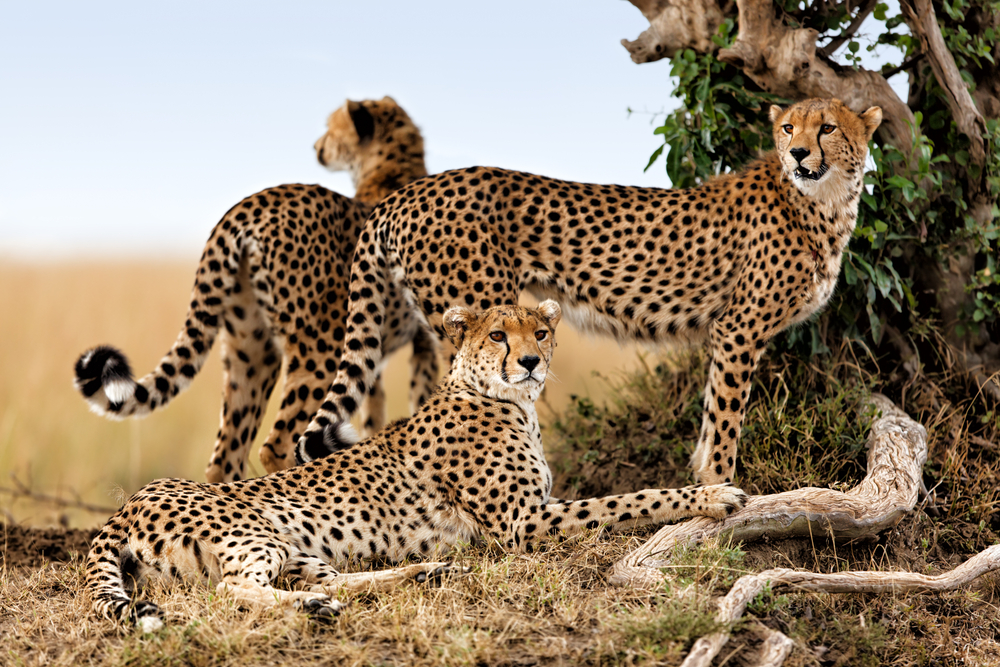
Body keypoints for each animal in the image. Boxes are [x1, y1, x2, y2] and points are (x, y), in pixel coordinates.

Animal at [73, 96, 439, 483]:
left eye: (330, 128)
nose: (316, 146)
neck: (389, 167)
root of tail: (250, 203)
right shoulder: (421, 341)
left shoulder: (375, 357)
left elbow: (376, 413)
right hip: (318, 352)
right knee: (277, 445)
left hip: (250, 352)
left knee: (226, 455)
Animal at [85, 301, 746, 631]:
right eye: (498, 336)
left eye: (539, 331)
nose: (531, 361)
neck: (506, 400)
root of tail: (131, 501)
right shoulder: (522, 525)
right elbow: (629, 499)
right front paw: (715, 495)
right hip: (257, 532)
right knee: (233, 590)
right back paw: (316, 608)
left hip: (295, 545)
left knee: (327, 578)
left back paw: (423, 573)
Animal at [294, 98, 883, 486]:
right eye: (788, 128)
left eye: (828, 127)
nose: (800, 153)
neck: (822, 200)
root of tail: (411, 190)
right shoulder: (739, 329)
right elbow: (725, 417)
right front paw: (718, 490)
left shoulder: (728, 334)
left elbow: (711, 414)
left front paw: (701, 478)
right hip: (481, 317)